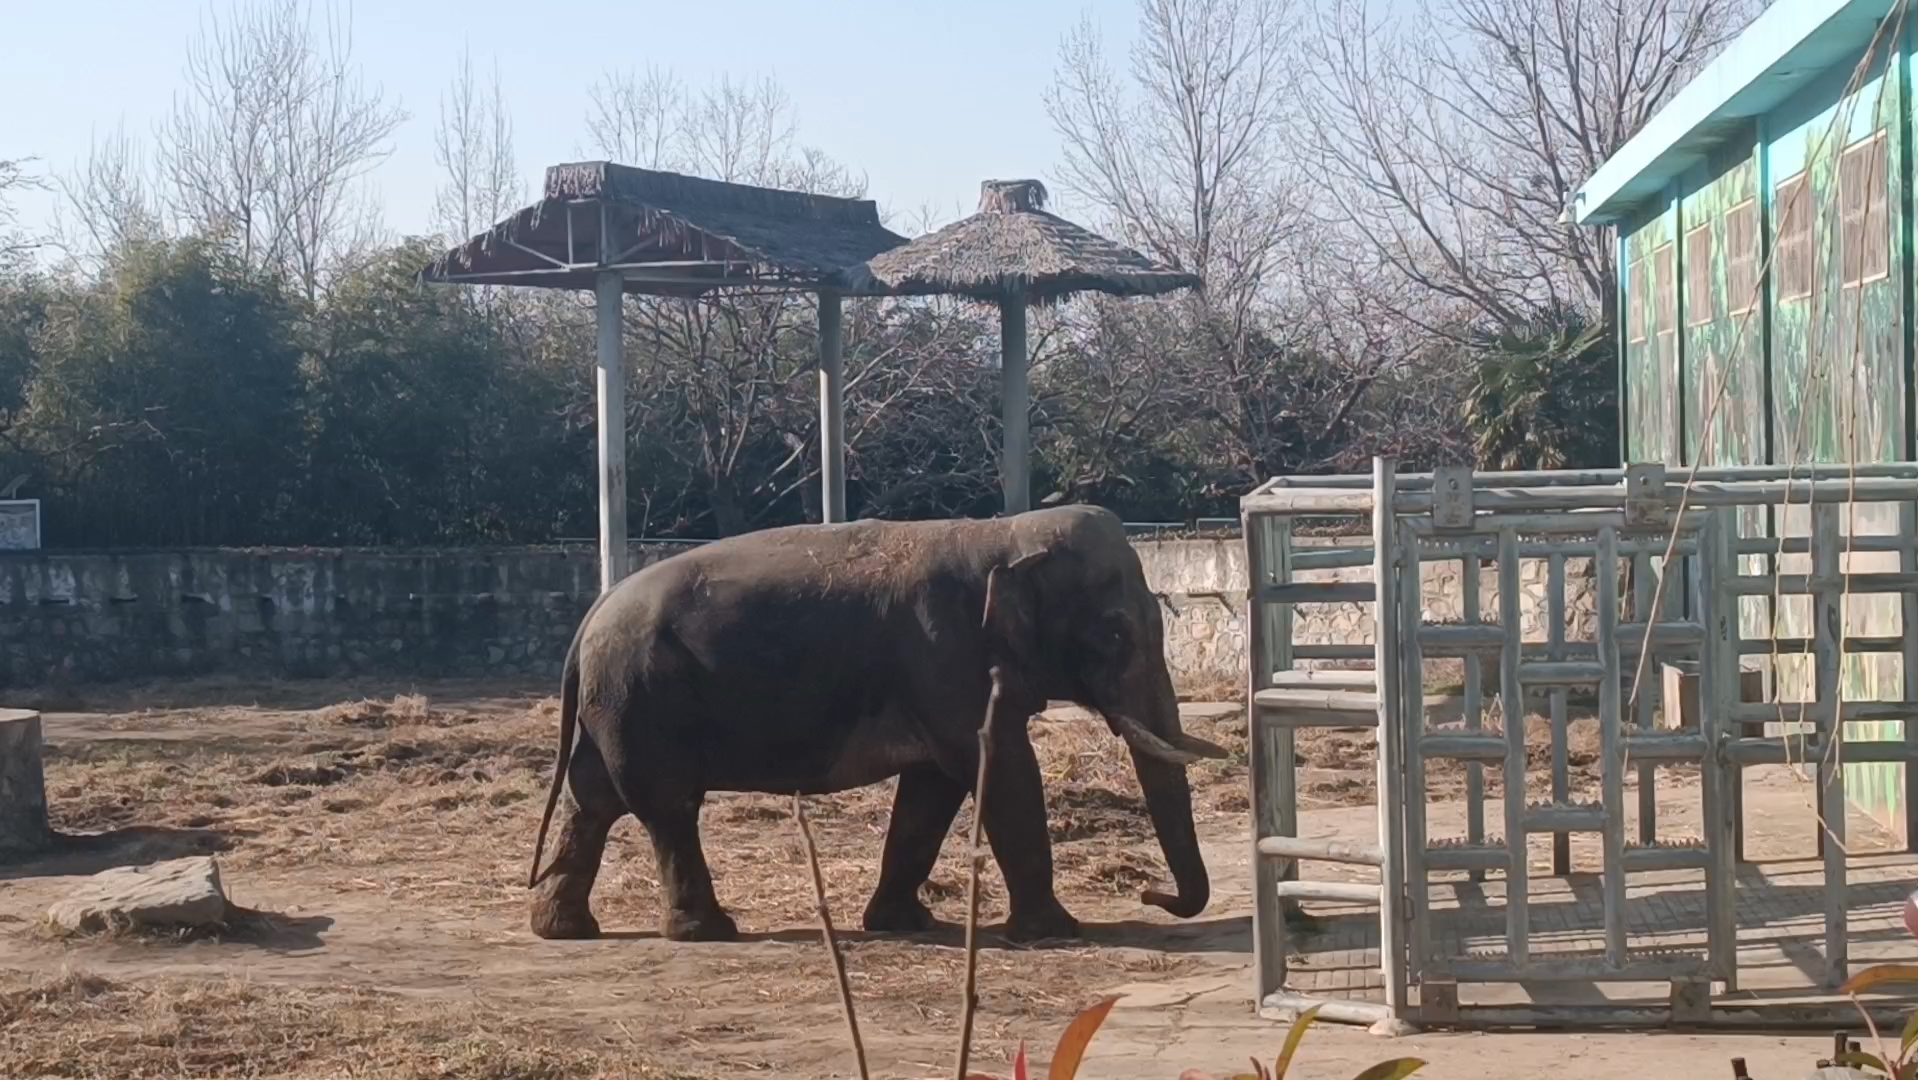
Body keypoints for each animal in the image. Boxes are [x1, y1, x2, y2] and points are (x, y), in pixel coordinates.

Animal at [521, 502, 1227, 943]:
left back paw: (565, 929)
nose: (1151, 897)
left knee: (593, 799)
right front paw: (1055, 933)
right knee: (667, 806)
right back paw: (708, 931)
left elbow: (932, 789)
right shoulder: (944, 655)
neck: (1002, 533)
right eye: (1116, 633)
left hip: (617, 705)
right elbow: (1000, 768)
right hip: (642, 697)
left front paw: (901, 924)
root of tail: (590, 618)